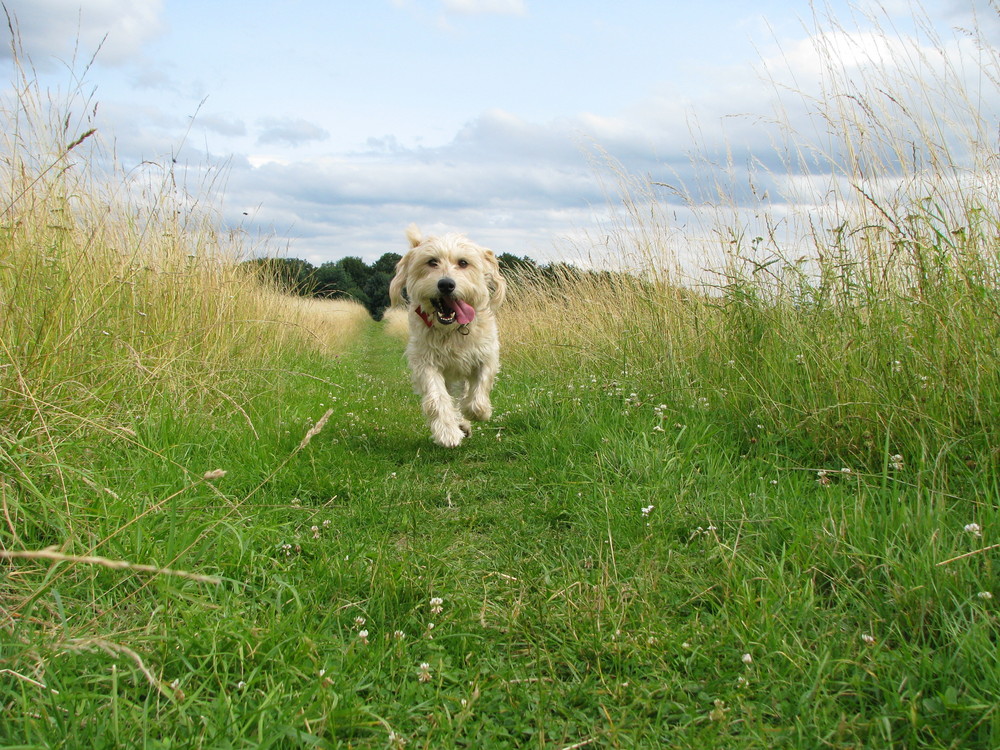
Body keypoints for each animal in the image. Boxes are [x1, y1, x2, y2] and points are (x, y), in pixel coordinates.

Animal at [386, 223, 504, 446]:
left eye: (463, 262)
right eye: (432, 261)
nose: (446, 284)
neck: (453, 330)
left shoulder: (486, 355)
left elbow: (479, 390)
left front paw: (477, 412)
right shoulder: (426, 362)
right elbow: (438, 398)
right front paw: (448, 432)